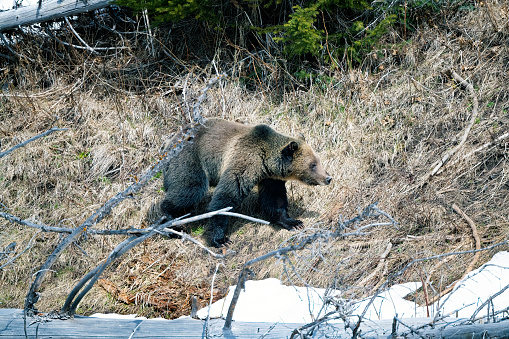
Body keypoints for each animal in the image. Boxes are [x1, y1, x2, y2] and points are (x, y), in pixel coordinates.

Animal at [161, 119, 332, 247]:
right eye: (313, 164)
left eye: (318, 160)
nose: (328, 178)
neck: (265, 161)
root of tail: (170, 141)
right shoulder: (244, 160)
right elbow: (227, 196)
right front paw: (220, 239)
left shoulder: (269, 178)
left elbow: (274, 199)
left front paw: (293, 222)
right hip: (189, 158)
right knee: (190, 189)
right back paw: (171, 223)